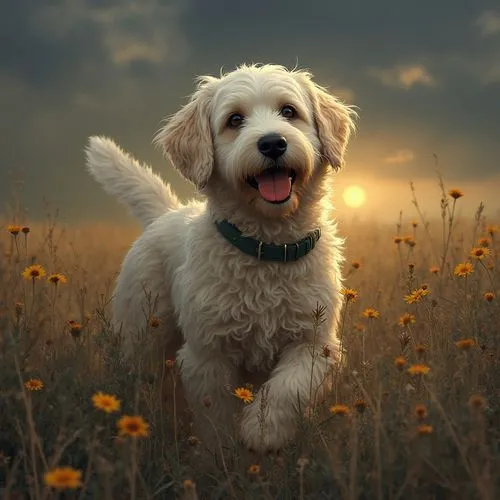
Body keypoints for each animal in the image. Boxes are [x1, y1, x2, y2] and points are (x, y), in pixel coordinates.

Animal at [87, 63, 360, 454]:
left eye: (289, 111)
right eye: (234, 120)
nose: (273, 143)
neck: (266, 247)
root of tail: (164, 215)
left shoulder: (314, 343)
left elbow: (288, 388)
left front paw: (263, 431)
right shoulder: (207, 354)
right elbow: (217, 417)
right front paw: (226, 453)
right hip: (141, 334)